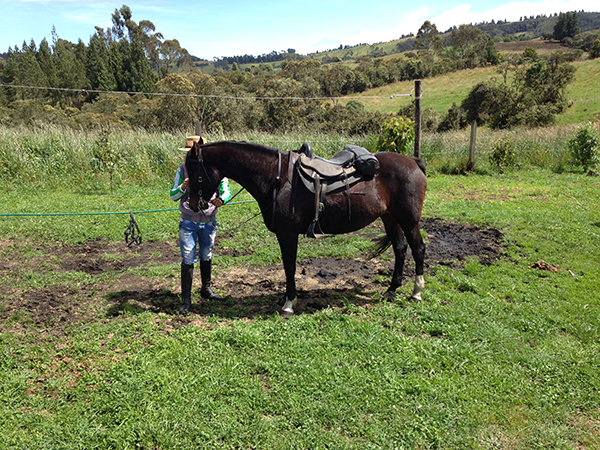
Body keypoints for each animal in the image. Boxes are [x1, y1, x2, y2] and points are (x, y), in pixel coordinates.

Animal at [188, 140, 426, 312]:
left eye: (194, 172)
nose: (192, 204)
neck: (276, 178)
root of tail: (414, 161)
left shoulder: (287, 234)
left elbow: (290, 266)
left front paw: (288, 303)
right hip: (390, 218)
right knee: (400, 249)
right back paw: (391, 289)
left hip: (409, 220)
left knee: (418, 249)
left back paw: (416, 292)